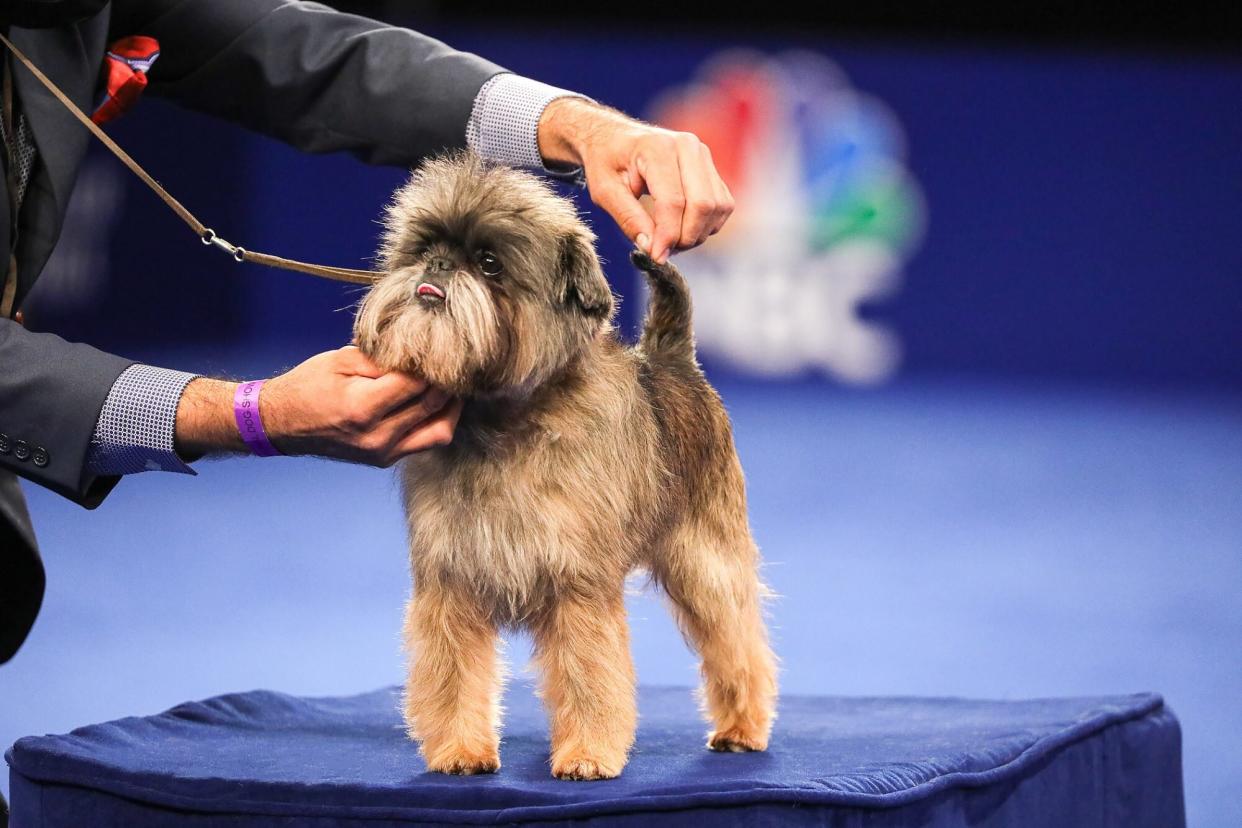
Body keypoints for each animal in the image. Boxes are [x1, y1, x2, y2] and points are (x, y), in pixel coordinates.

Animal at [352, 152, 775, 779]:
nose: (438, 265)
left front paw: (587, 754)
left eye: (489, 263)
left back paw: (743, 728)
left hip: (705, 562)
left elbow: (588, 674)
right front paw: (460, 750)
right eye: (423, 245)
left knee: (737, 643)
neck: (501, 422)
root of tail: (669, 358)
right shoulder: (451, 583)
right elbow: (453, 676)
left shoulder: (577, 586)